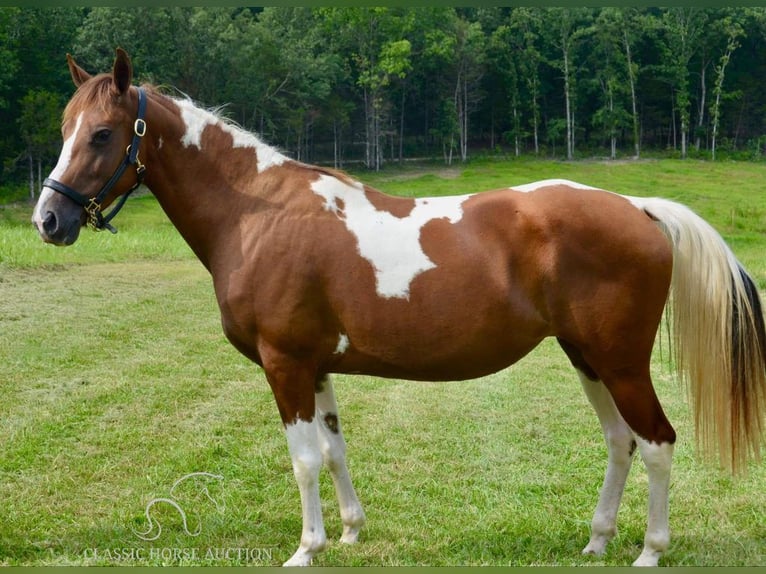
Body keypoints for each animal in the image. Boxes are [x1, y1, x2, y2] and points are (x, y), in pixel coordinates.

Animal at [31, 48, 766, 568]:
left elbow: (303, 459)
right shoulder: (316, 366)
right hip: (587, 358)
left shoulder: (284, 364)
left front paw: (306, 548)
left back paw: (649, 551)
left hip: (620, 362)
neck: (259, 214)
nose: (48, 219)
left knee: (658, 443)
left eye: (103, 134)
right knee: (620, 441)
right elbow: (334, 450)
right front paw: (350, 533)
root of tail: (637, 207)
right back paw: (598, 540)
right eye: (64, 129)